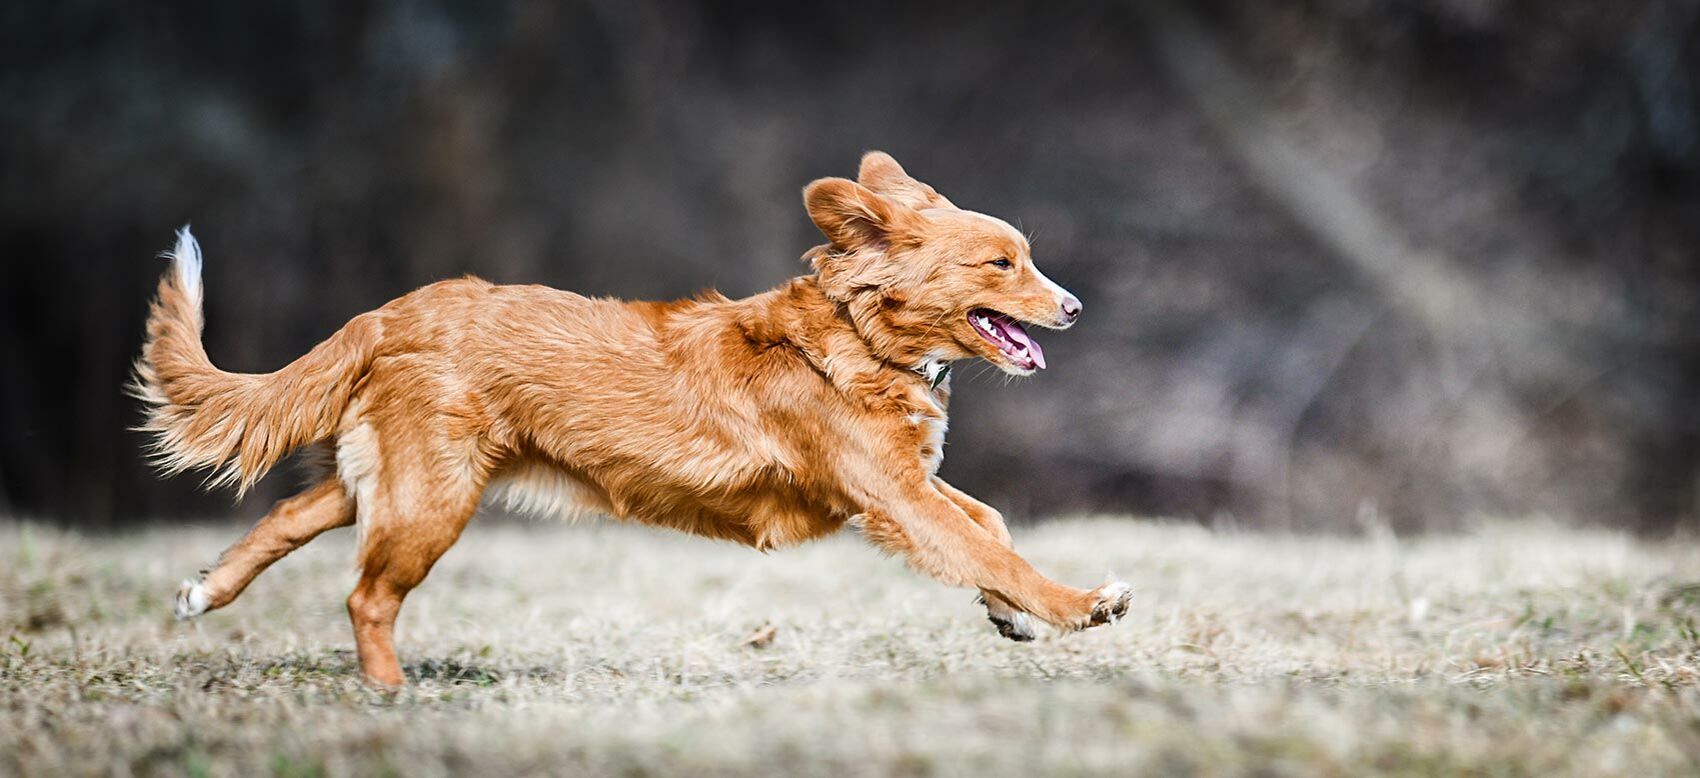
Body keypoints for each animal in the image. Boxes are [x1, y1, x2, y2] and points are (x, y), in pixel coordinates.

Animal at [136, 150, 1128, 679]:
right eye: (1002, 264)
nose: (1078, 308)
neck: (860, 335)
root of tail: (397, 310)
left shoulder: (904, 486)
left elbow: (990, 525)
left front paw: (1011, 616)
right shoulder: (891, 497)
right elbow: (991, 545)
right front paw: (1076, 605)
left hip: (393, 475)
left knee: (288, 517)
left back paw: (205, 592)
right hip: (431, 498)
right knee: (366, 594)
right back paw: (390, 693)